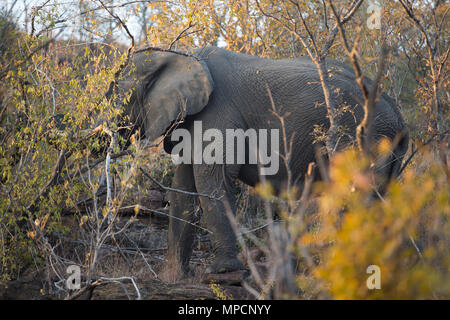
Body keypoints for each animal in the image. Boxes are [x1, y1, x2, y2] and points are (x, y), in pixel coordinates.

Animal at [115, 46, 408, 276]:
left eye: (115, 97)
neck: (178, 56)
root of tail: (399, 117)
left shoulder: (217, 113)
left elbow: (213, 179)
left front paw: (222, 272)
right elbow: (183, 190)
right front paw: (174, 279)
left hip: (364, 139)